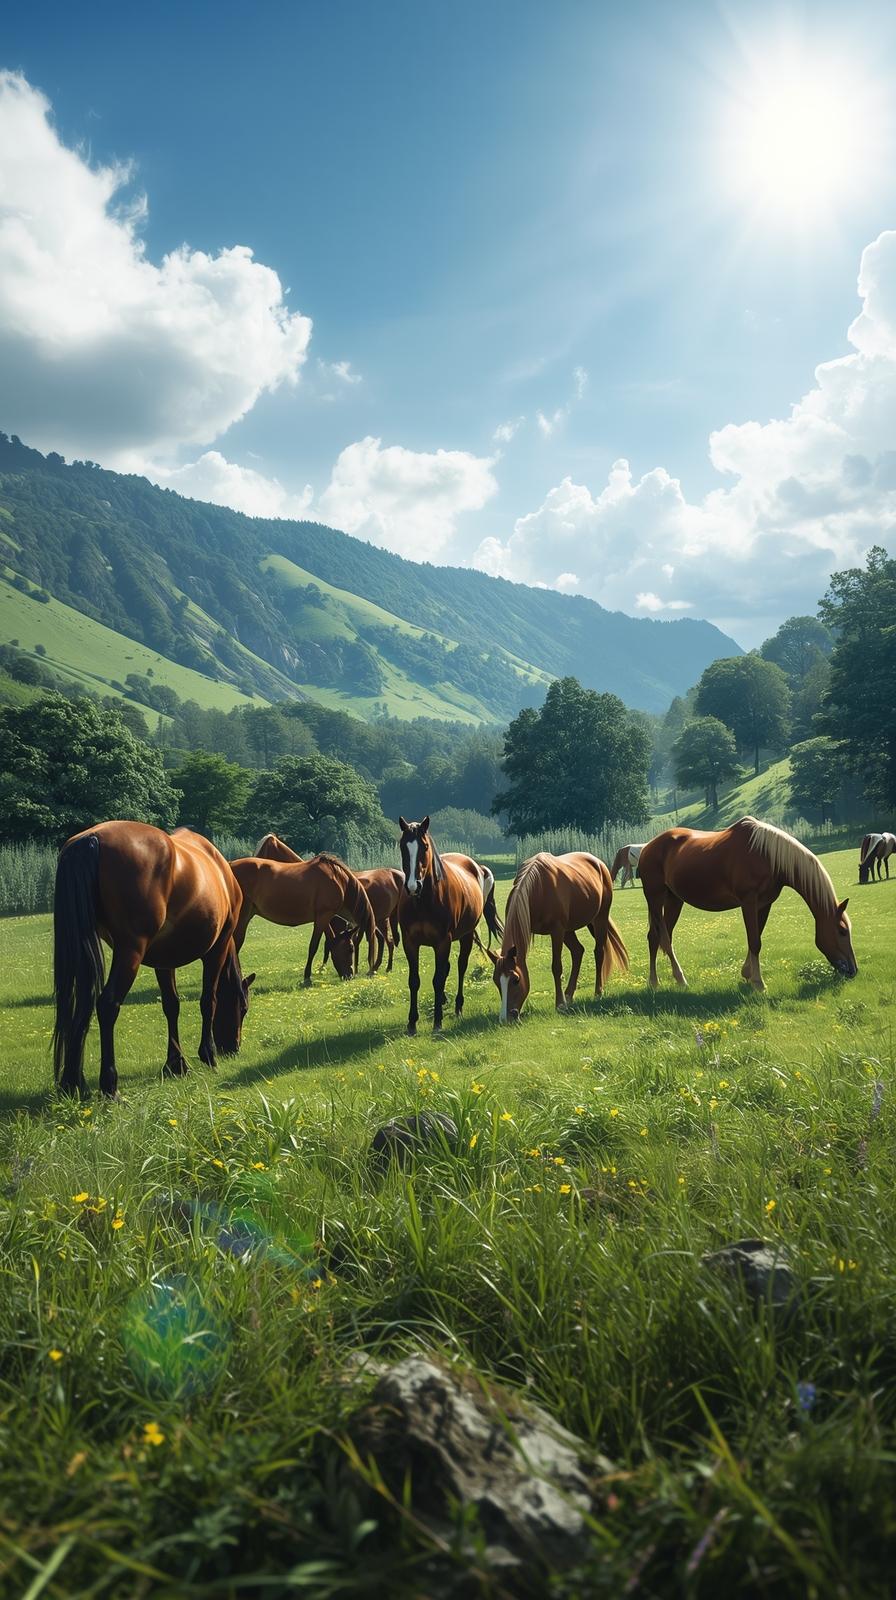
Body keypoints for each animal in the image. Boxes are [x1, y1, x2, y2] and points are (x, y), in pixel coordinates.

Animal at [53, 822, 253, 1099]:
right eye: (243, 1008)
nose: (233, 1047)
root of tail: (91, 838)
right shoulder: (217, 949)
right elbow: (208, 1001)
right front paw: (208, 1055)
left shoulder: (163, 960)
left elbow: (171, 1005)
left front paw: (176, 1064)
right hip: (130, 951)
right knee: (107, 1005)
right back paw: (110, 1085)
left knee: (81, 1005)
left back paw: (72, 1083)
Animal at [229, 852, 377, 983]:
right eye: (351, 948)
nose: (350, 975)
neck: (339, 881)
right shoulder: (323, 916)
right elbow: (313, 946)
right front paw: (307, 977)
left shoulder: (323, 917)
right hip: (242, 919)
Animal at [398, 816, 503, 1035]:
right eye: (403, 846)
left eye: (425, 847)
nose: (413, 886)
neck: (423, 902)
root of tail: (477, 867)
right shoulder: (410, 942)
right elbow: (414, 980)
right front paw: (412, 1023)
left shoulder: (442, 942)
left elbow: (438, 980)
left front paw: (437, 1021)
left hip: (466, 936)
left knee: (461, 967)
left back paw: (457, 1006)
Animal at [485, 852, 628, 1021]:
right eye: (496, 981)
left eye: (516, 979)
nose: (506, 1017)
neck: (538, 889)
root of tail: (599, 863)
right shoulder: (558, 930)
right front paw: (564, 1000)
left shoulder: (557, 931)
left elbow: (556, 967)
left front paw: (560, 1004)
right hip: (569, 930)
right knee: (578, 951)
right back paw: (569, 994)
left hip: (600, 918)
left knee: (599, 952)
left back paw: (598, 992)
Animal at [638, 816, 857, 993]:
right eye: (842, 931)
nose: (853, 970)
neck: (768, 855)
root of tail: (647, 847)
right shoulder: (748, 902)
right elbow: (754, 942)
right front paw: (759, 983)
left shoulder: (764, 904)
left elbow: (756, 938)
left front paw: (747, 974)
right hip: (655, 898)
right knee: (660, 938)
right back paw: (668, 980)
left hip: (674, 900)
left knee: (658, 937)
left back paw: (665, 981)